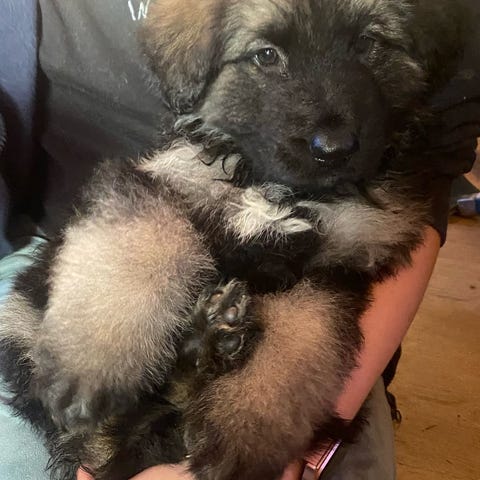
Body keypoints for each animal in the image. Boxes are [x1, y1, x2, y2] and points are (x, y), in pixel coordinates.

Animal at [0, 1, 470, 479]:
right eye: (266, 55)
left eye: (367, 43)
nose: (334, 148)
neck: (271, 186)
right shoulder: (157, 184)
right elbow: (142, 244)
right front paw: (95, 362)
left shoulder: (327, 268)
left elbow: (300, 339)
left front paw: (243, 432)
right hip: (19, 322)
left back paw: (212, 338)